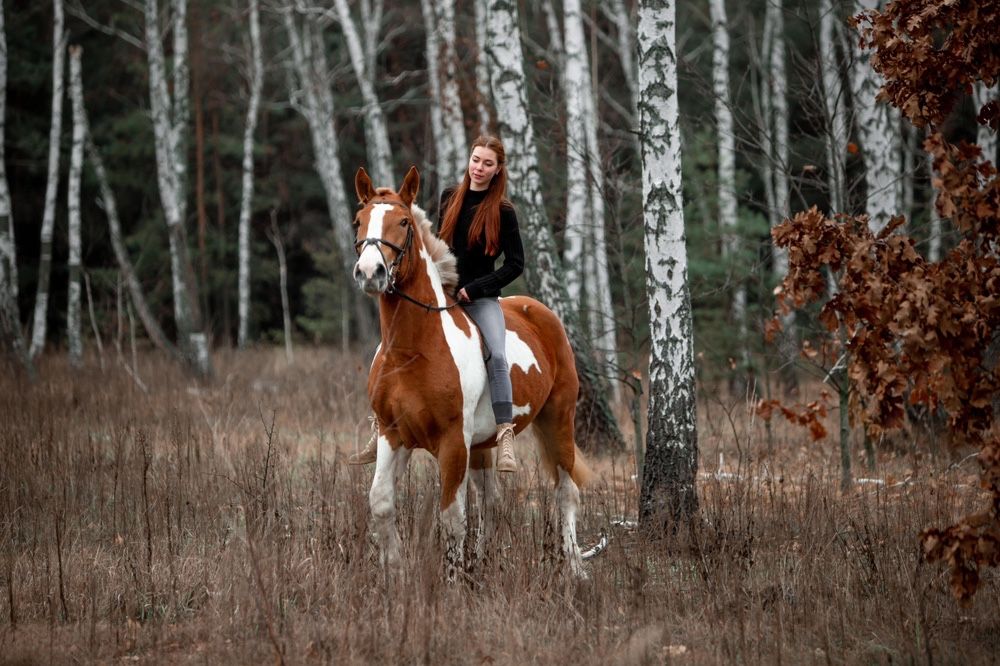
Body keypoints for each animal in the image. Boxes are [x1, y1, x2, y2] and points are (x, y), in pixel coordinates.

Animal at [350, 163, 588, 572]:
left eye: (403, 222)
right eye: (359, 221)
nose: (370, 272)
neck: (411, 351)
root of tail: (542, 312)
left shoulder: (452, 443)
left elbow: (452, 517)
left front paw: (452, 578)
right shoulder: (393, 433)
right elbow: (381, 502)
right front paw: (396, 572)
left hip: (557, 419)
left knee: (565, 491)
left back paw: (575, 568)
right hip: (482, 444)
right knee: (491, 501)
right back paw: (483, 561)